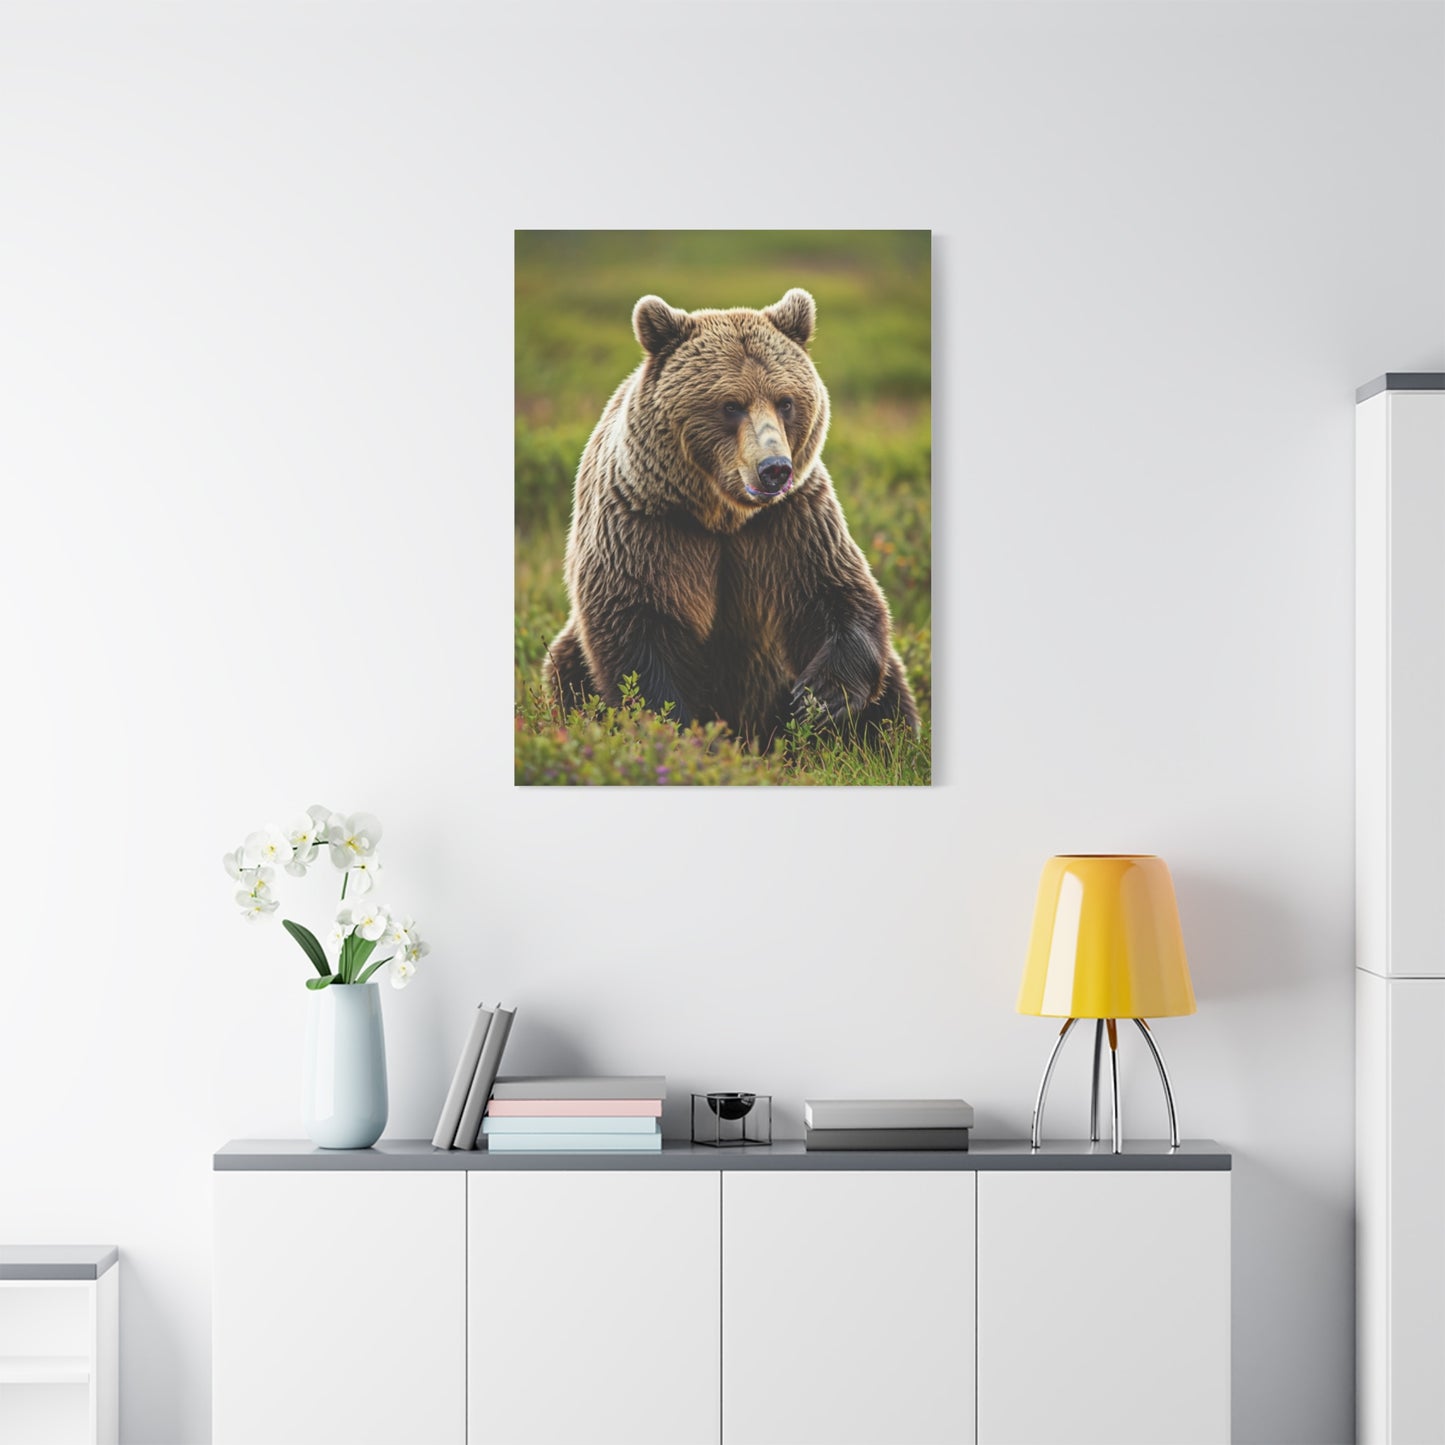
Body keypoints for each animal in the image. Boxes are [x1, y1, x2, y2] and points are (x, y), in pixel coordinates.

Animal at [544, 287, 920, 748]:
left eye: (786, 401)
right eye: (730, 405)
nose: (774, 467)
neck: (722, 516)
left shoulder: (792, 522)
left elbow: (838, 592)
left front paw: (820, 697)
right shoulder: (645, 526)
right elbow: (637, 628)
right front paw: (676, 730)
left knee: (892, 687)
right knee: (566, 668)